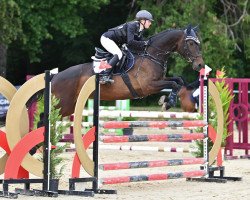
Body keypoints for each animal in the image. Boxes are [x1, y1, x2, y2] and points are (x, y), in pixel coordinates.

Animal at [50, 25, 203, 118]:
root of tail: (55, 77)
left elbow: (178, 80)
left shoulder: (160, 80)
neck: (151, 55)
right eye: (191, 43)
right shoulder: (148, 86)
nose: (200, 65)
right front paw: (167, 102)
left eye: (198, 43)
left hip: (69, 107)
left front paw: (167, 100)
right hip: (62, 105)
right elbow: (174, 83)